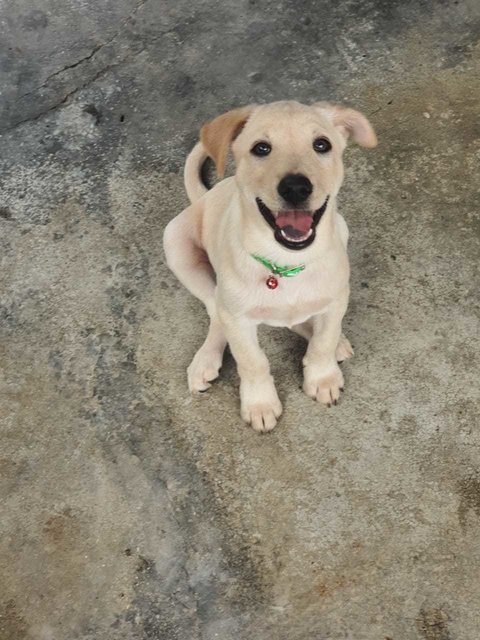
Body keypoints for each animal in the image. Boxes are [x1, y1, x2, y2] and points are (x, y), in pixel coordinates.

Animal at [165, 100, 378, 432]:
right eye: (261, 148)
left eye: (322, 145)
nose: (296, 188)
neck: (286, 263)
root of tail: (206, 196)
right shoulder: (238, 319)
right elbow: (252, 361)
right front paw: (260, 404)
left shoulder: (337, 297)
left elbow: (324, 340)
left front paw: (322, 376)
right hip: (176, 244)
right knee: (214, 308)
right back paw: (205, 359)